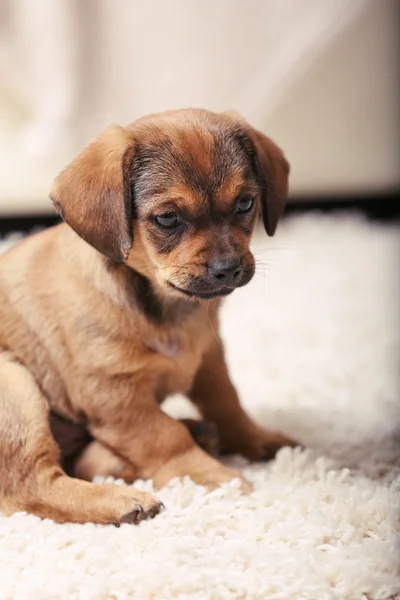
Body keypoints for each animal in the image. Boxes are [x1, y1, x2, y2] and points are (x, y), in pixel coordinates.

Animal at [0, 109, 294, 524]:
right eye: (168, 218)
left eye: (245, 203)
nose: (228, 269)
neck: (166, 306)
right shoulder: (117, 396)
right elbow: (164, 437)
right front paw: (209, 473)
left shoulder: (210, 361)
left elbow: (228, 404)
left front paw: (255, 438)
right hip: (14, 384)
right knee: (28, 485)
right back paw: (119, 499)